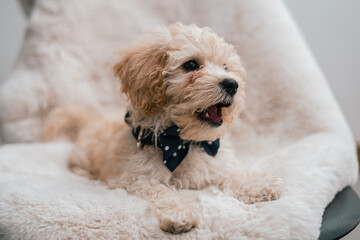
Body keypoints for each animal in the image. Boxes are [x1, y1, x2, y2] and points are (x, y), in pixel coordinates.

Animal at [43, 23, 282, 234]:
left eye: (225, 67)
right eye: (191, 65)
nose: (232, 84)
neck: (183, 142)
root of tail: (92, 118)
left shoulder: (217, 163)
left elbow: (235, 173)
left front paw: (260, 186)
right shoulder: (137, 178)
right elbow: (162, 192)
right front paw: (180, 214)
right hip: (82, 154)